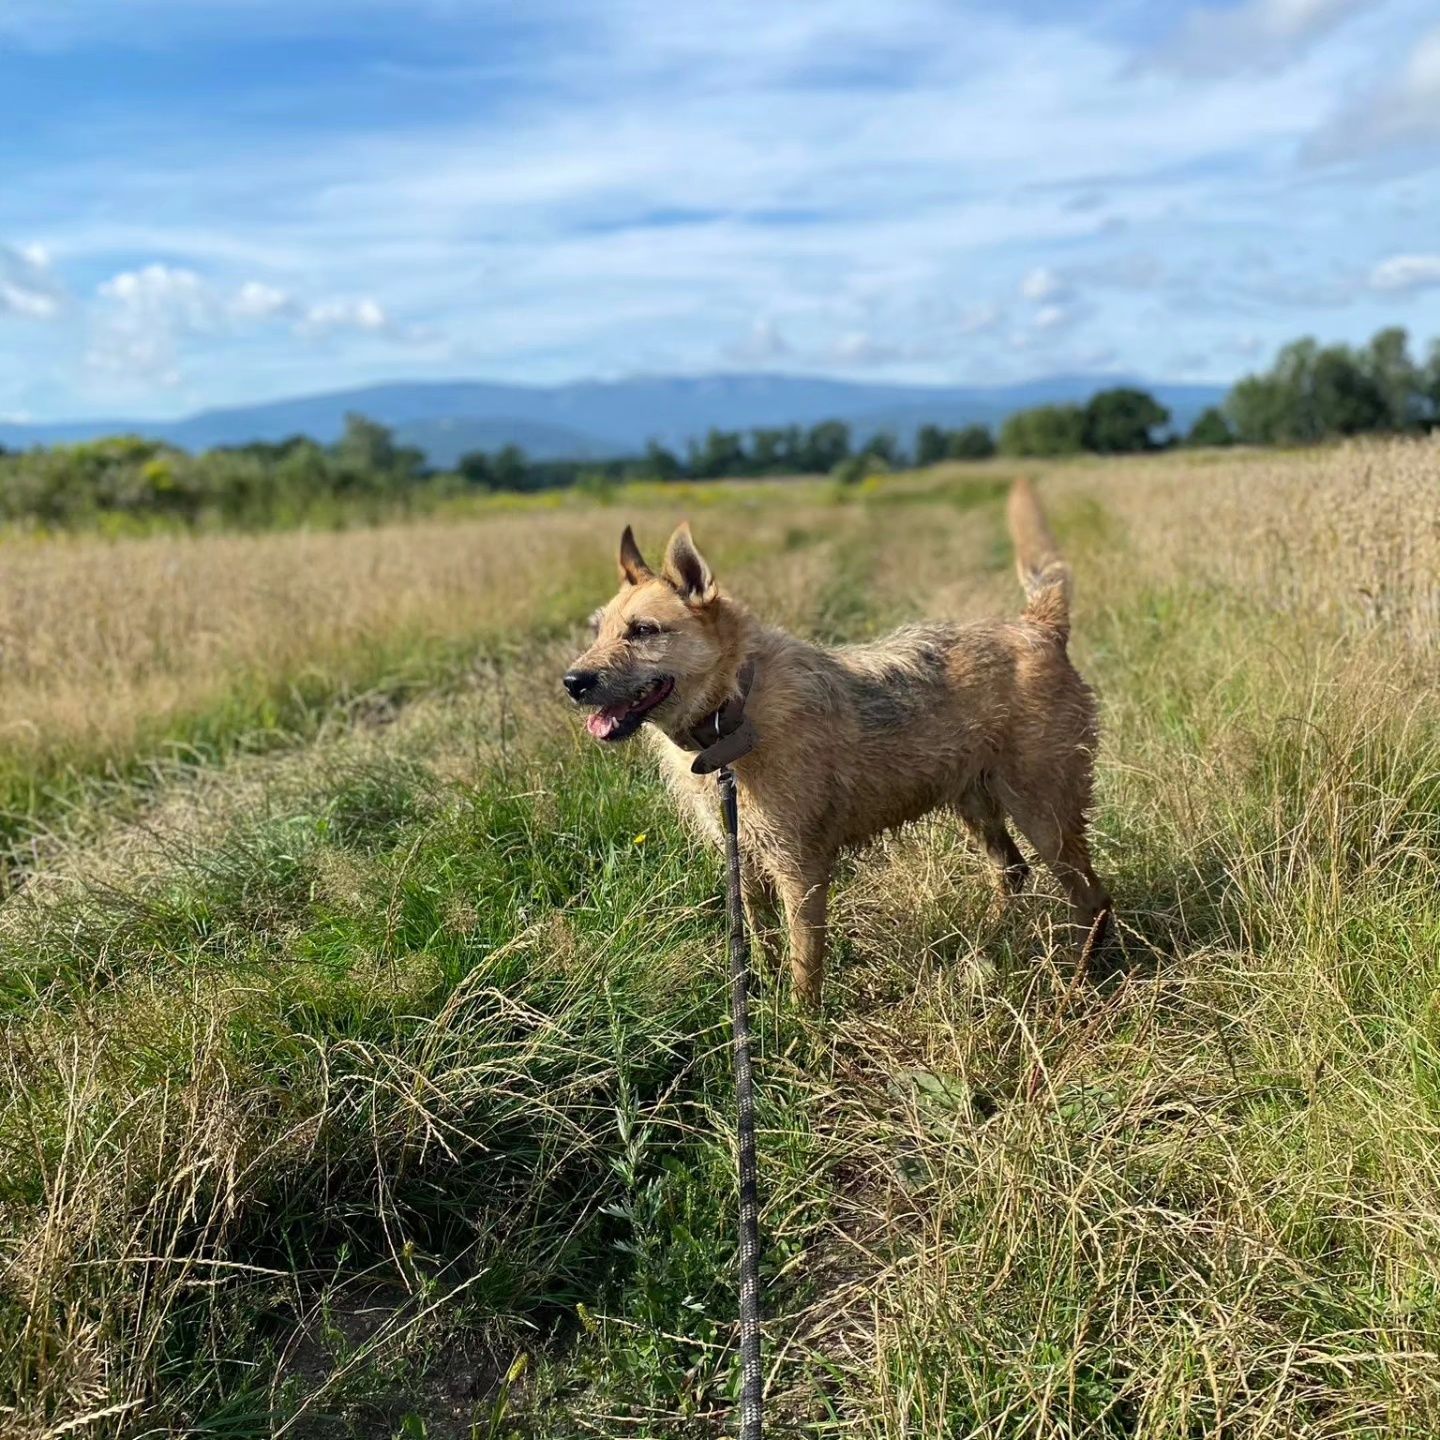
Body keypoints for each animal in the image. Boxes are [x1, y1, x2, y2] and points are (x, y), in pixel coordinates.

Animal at [561, 478, 1111, 1008]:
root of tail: (1037, 625)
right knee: (1014, 871)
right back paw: (990, 945)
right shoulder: (747, 862)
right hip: (976, 805)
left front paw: (800, 1028)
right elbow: (760, 942)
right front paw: (760, 996)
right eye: (598, 631)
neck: (732, 709)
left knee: (1093, 900)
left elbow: (805, 965)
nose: (572, 682)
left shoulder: (800, 870)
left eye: (643, 631)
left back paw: (1078, 984)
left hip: (1044, 817)